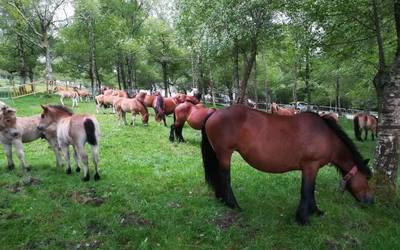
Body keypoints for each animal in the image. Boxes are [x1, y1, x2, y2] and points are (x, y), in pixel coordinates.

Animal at [202, 104, 374, 226]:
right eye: (367, 177)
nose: (370, 201)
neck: (326, 136)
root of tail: (214, 113)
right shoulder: (310, 166)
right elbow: (306, 190)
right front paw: (303, 219)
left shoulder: (313, 168)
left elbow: (311, 190)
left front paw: (315, 211)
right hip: (225, 154)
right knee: (225, 177)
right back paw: (233, 204)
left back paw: (222, 199)